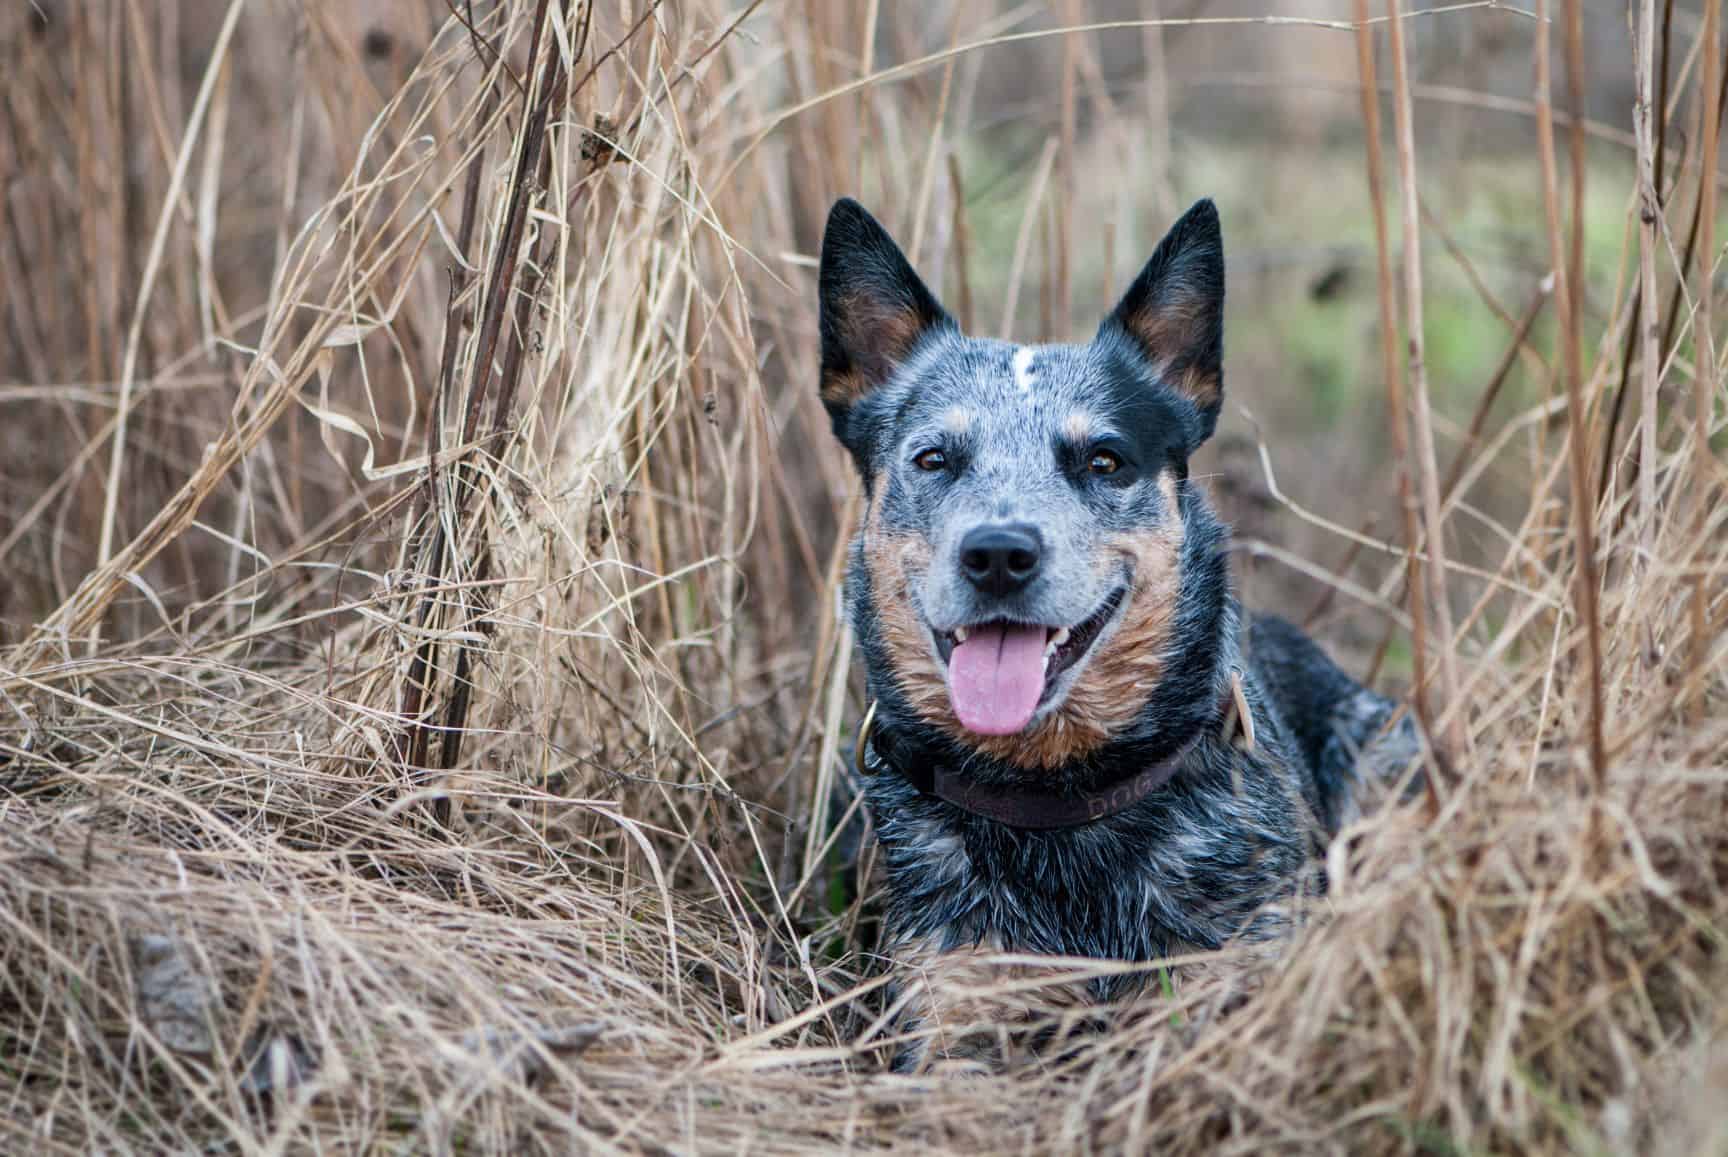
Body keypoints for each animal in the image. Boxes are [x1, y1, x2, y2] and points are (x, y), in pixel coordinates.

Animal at [815, 195, 1423, 1077]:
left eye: (1103, 460)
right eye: (933, 458)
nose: (998, 553)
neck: (1057, 800)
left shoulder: (1237, 977)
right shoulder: (951, 1004)